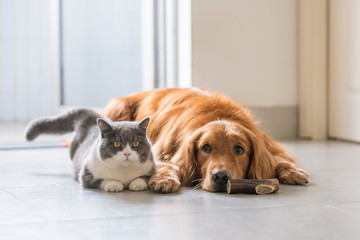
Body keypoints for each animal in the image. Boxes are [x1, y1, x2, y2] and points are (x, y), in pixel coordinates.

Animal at [25, 108, 155, 192]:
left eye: (136, 143)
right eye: (117, 144)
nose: (127, 153)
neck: (124, 171)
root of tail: (90, 116)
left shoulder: (152, 167)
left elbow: (145, 178)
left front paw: (137, 184)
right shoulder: (86, 175)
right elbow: (101, 180)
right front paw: (114, 184)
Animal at [104, 88, 310, 193]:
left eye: (239, 149)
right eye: (206, 147)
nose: (221, 177)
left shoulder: (268, 145)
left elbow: (278, 159)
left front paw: (292, 171)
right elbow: (167, 164)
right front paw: (165, 179)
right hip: (119, 107)